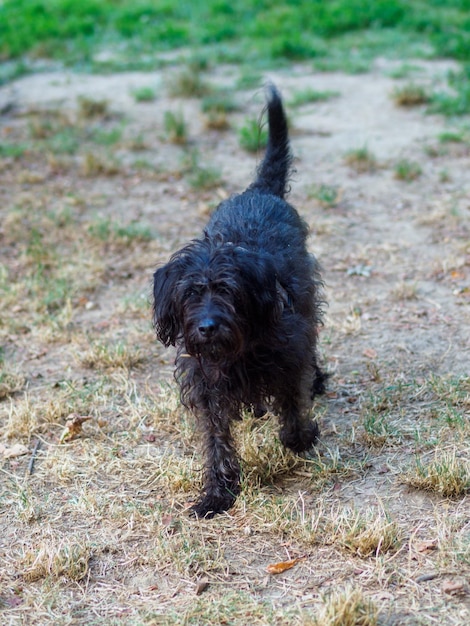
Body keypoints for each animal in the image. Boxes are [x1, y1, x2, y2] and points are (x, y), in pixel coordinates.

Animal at [152, 86, 324, 516]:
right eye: (191, 293)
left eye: (228, 292)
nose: (207, 327)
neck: (238, 351)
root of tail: (258, 190)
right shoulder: (206, 387)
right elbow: (217, 441)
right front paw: (217, 493)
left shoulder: (290, 354)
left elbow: (292, 403)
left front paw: (301, 436)